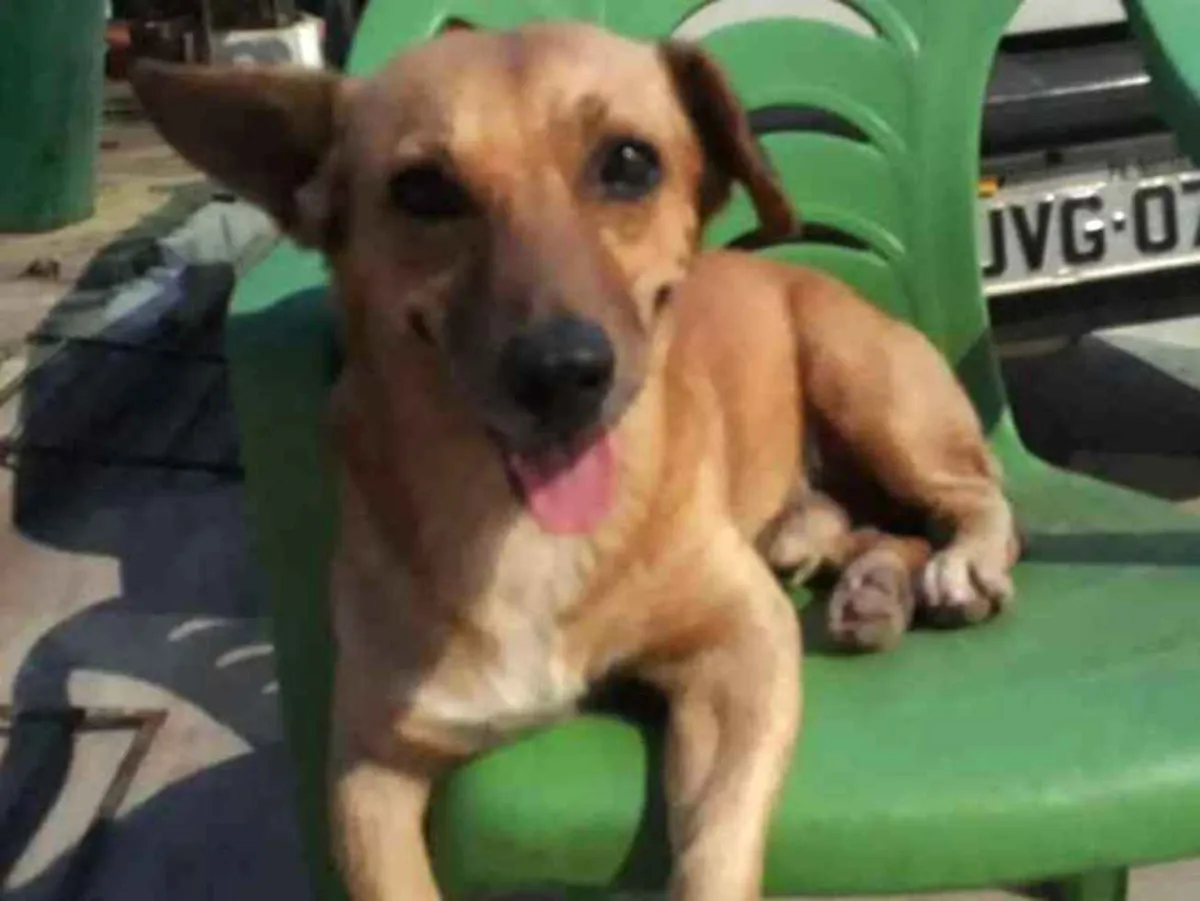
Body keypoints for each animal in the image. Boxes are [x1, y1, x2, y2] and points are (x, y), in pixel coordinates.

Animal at [132, 20, 1018, 901]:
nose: (561, 372)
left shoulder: (742, 645)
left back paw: (958, 566)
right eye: (422, 190)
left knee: (976, 498)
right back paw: (869, 581)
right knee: (876, 524)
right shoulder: (367, 763)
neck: (515, 529)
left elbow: (713, 848)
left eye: (630, 162)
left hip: (863, 382)